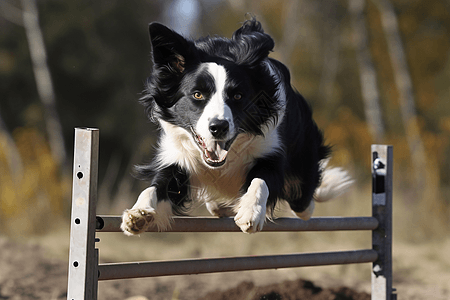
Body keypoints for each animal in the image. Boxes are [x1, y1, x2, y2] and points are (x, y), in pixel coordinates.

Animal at [121, 18, 354, 234]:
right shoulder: (179, 158)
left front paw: (251, 213)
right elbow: (156, 186)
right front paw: (138, 214)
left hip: (302, 169)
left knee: (304, 204)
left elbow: (260, 180)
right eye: (197, 94)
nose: (218, 127)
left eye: (238, 96)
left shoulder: (271, 152)